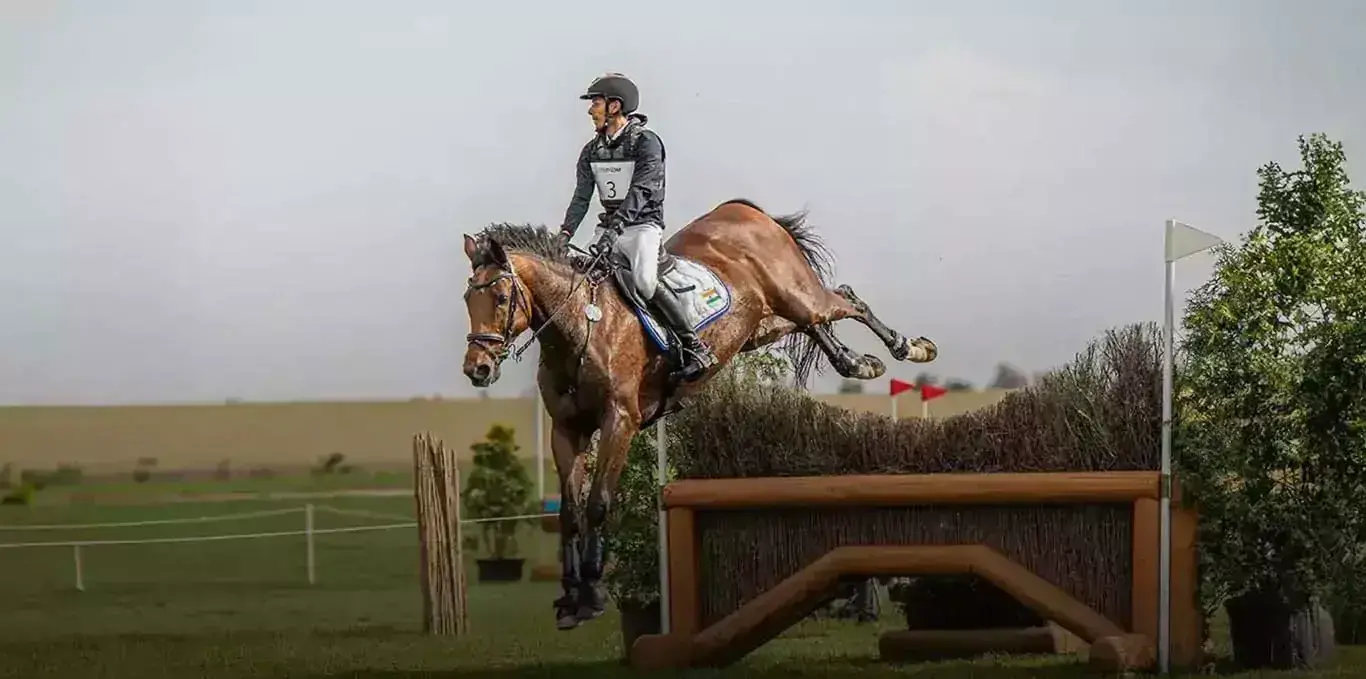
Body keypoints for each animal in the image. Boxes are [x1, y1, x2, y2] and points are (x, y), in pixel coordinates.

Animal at [459, 198, 936, 629]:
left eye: (500, 297)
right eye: (467, 298)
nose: (476, 369)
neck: (582, 326)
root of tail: (744, 210)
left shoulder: (620, 422)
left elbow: (597, 504)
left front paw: (592, 595)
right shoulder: (567, 430)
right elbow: (570, 515)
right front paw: (569, 601)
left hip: (798, 295)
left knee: (845, 300)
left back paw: (910, 347)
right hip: (763, 322)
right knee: (813, 322)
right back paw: (854, 362)